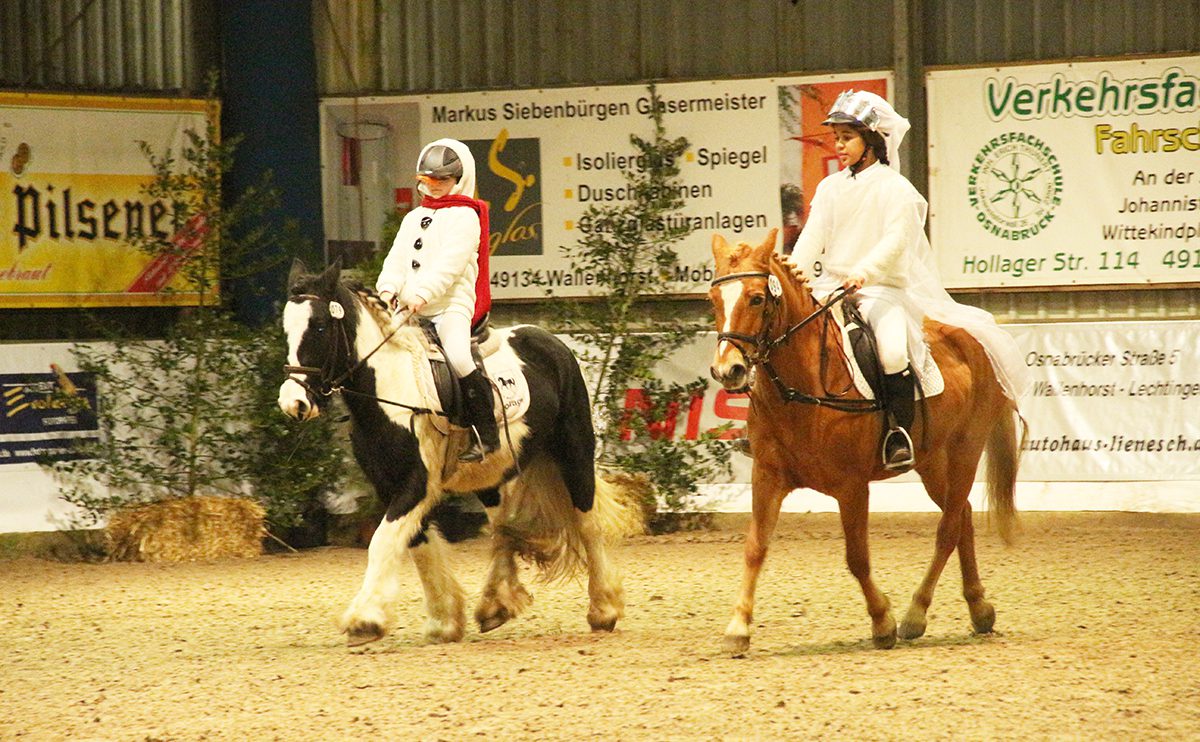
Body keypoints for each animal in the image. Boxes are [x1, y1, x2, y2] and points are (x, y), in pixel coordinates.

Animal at [277, 260, 643, 643]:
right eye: (287, 329)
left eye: (319, 326)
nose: (294, 403)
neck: (390, 392)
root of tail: (549, 340)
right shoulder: (390, 485)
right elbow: (418, 544)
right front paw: (444, 621)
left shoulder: (416, 484)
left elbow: (383, 541)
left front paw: (365, 619)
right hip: (492, 473)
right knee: (503, 527)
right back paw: (496, 605)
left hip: (574, 452)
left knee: (586, 522)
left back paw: (603, 609)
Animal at [705, 228, 1027, 648]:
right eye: (713, 300)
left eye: (757, 298)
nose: (728, 370)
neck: (802, 386)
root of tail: (977, 338)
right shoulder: (767, 477)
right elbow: (755, 547)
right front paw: (738, 627)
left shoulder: (852, 486)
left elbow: (857, 557)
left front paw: (882, 621)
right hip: (931, 460)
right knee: (963, 517)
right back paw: (979, 609)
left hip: (965, 450)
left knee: (948, 528)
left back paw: (915, 615)